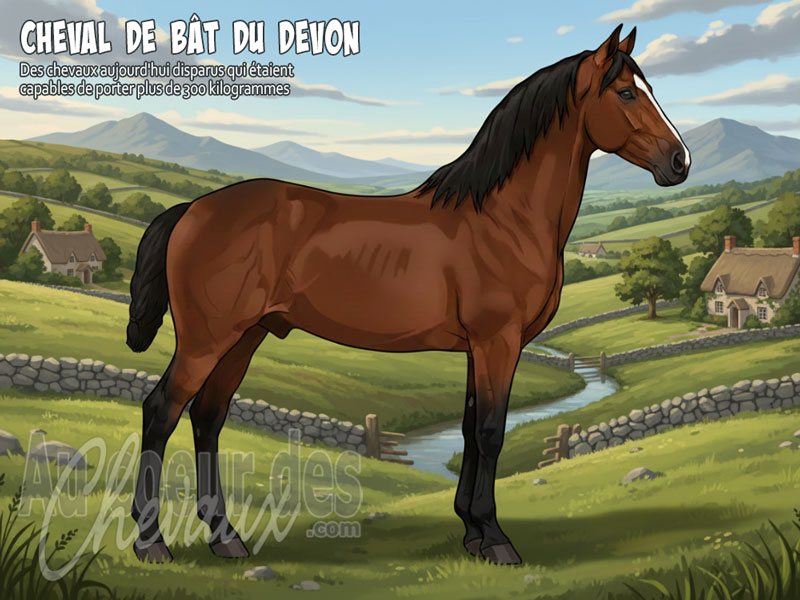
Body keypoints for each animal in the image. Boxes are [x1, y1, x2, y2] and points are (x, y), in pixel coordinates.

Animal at [126, 24, 690, 565]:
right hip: (207, 340)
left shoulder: (478, 348)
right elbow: (491, 432)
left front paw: (472, 534)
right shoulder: (499, 342)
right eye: (625, 92)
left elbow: (469, 428)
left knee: (208, 417)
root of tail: (192, 209)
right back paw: (152, 542)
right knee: (161, 411)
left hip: (245, 337)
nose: (680, 161)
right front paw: (497, 541)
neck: (503, 218)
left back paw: (226, 539)